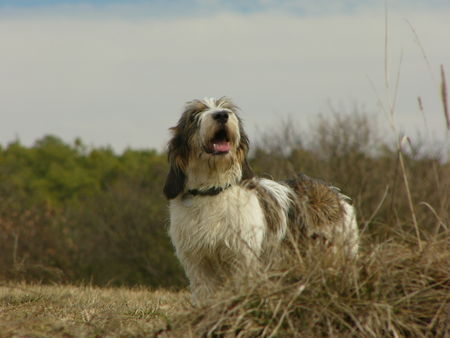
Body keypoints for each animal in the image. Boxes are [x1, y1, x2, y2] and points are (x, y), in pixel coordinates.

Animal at [164, 96, 358, 300]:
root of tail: (334, 193)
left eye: (226, 108)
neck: (213, 190)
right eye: (195, 115)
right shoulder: (198, 264)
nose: (222, 115)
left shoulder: (243, 259)